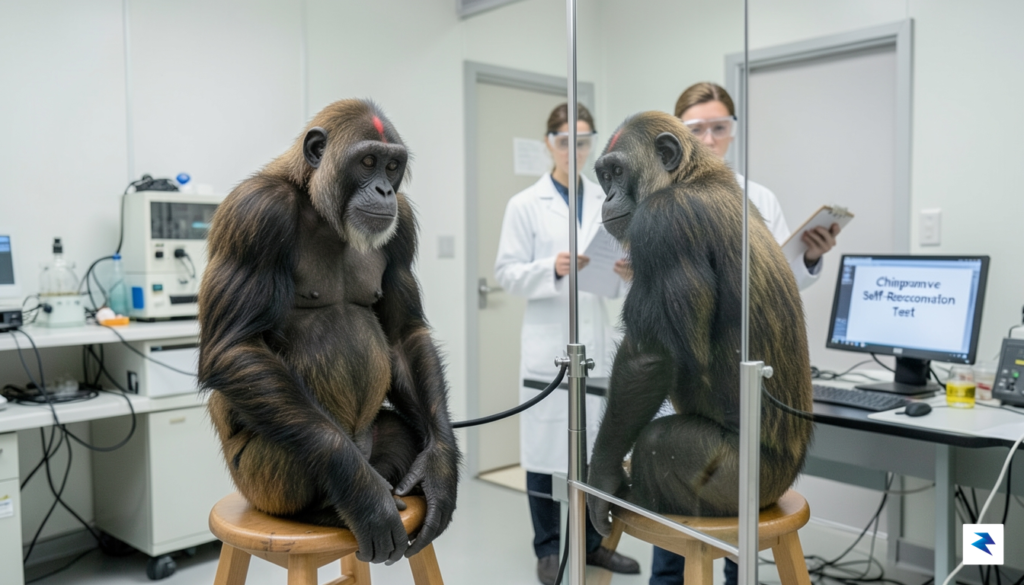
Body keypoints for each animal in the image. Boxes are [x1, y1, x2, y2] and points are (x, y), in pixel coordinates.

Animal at [198, 99, 460, 565]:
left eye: (393, 165)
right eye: (368, 161)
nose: (384, 190)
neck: (321, 209)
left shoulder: (403, 226)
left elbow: (402, 335)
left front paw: (439, 471)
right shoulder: (254, 213)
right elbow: (234, 347)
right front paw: (366, 498)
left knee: (397, 433)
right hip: (256, 482)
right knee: (300, 444)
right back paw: (334, 507)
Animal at [585, 111, 813, 533]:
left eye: (618, 171)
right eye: (604, 176)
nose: (607, 196)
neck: (688, 178)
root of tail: (781, 492)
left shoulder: (663, 224)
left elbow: (649, 358)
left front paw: (601, 477)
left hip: (739, 482)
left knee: (657, 442)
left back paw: (638, 498)